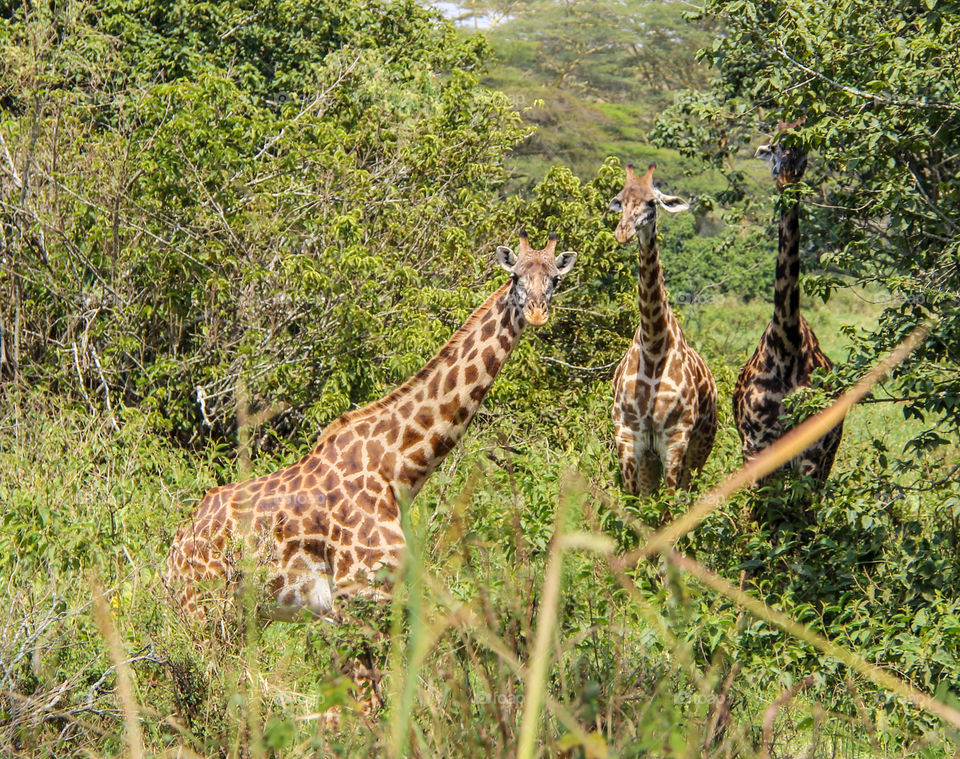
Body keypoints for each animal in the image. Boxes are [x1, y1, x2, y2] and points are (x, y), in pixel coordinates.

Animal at [163, 232, 576, 628]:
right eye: (515, 276)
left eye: (556, 279)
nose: (537, 313)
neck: (399, 467)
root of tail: (172, 554)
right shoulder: (357, 588)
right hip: (202, 611)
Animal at [612, 163, 716, 498]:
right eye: (620, 200)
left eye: (651, 203)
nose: (623, 232)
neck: (654, 345)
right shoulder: (628, 436)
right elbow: (633, 504)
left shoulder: (675, 439)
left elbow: (668, 507)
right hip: (651, 457)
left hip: (701, 446)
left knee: (687, 496)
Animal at [732, 121, 844, 484]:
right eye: (774, 149)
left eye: (801, 149)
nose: (786, 177)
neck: (788, 345)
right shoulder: (756, 445)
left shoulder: (812, 452)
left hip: (826, 453)